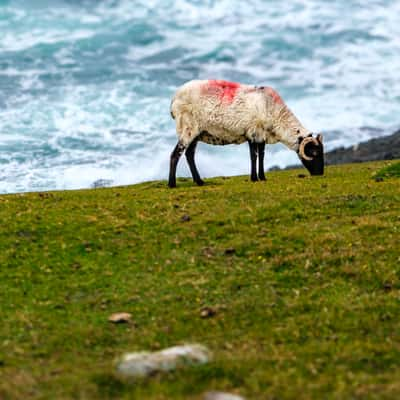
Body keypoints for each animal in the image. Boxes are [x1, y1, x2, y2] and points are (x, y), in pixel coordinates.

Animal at [167, 80, 324, 188]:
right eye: (314, 153)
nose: (320, 173)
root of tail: (174, 99)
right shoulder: (253, 132)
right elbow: (253, 156)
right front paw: (254, 178)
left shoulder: (261, 135)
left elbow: (261, 156)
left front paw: (262, 177)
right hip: (188, 128)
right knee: (176, 154)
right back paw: (172, 184)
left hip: (196, 133)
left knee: (189, 155)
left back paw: (199, 181)